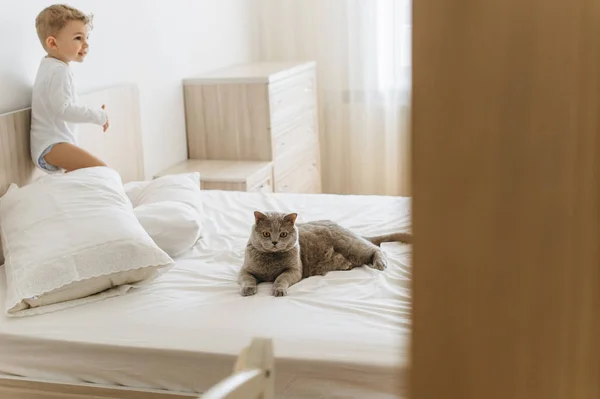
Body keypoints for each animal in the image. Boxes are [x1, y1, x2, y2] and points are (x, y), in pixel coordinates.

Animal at [239, 212, 412, 296]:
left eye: (283, 234)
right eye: (266, 233)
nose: (274, 242)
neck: (271, 261)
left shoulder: (294, 270)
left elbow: (281, 278)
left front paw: (279, 290)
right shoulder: (244, 270)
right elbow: (247, 279)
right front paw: (248, 289)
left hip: (351, 245)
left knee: (376, 248)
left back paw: (380, 263)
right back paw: (345, 265)